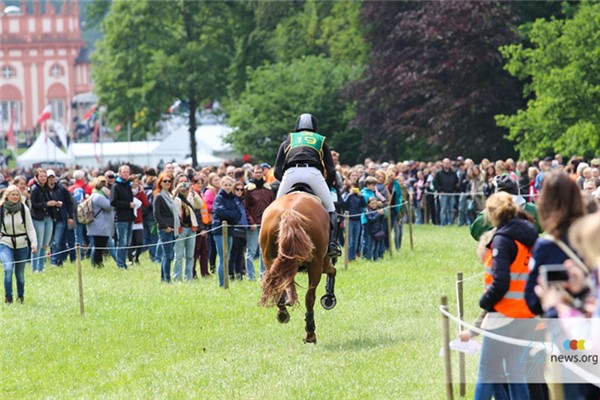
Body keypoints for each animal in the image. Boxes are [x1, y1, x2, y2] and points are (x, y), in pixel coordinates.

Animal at [258, 192, 338, 342]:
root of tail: (289, 212)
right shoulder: (324, 262)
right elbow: (333, 271)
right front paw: (329, 298)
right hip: (315, 264)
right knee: (310, 297)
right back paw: (310, 333)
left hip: (270, 259)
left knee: (277, 284)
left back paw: (283, 312)